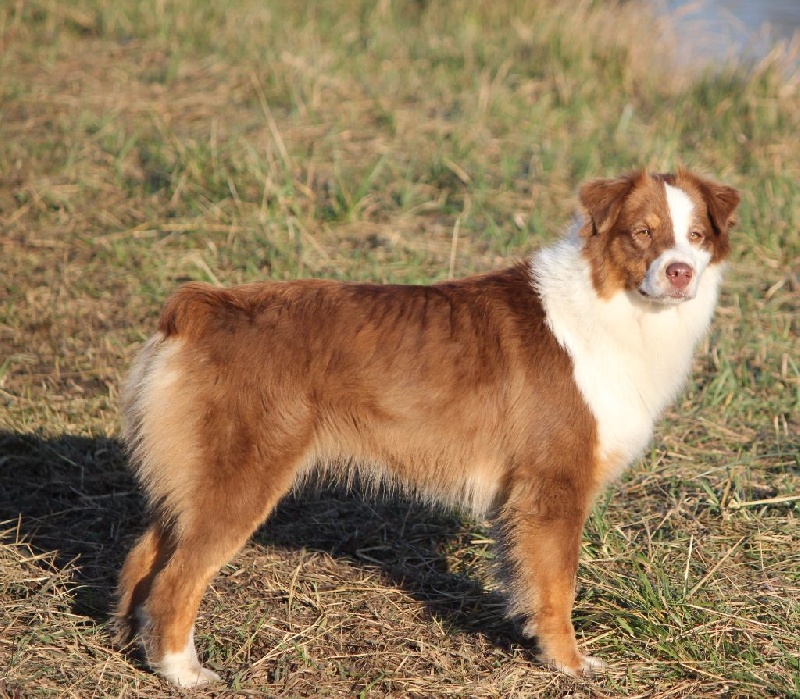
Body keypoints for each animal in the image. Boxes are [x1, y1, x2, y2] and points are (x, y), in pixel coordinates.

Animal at [112, 171, 736, 688]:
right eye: (641, 233)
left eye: (696, 236)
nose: (679, 272)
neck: (613, 305)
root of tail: (204, 306)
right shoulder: (554, 489)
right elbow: (558, 587)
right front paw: (569, 664)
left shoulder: (521, 500)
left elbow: (527, 580)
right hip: (242, 480)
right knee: (177, 580)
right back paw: (184, 672)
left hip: (195, 479)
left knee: (144, 558)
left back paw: (135, 647)